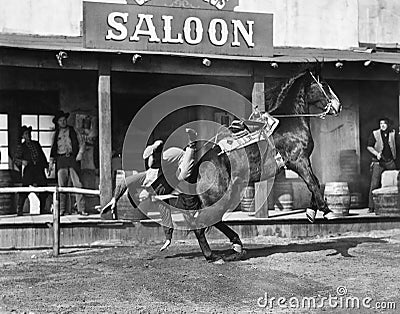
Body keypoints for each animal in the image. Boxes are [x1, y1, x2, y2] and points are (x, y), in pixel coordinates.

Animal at [183, 65, 342, 262]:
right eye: (324, 84)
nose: (338, 105)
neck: (290, 121)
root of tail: (200, 166)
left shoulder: (300, 163)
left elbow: (316, 183)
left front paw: (311, 212)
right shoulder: (299, 161)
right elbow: (313, 183)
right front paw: (327, 211)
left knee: (211, 221)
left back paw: (235, 245)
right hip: (219, 197)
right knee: (202, 223)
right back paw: (213, 254)